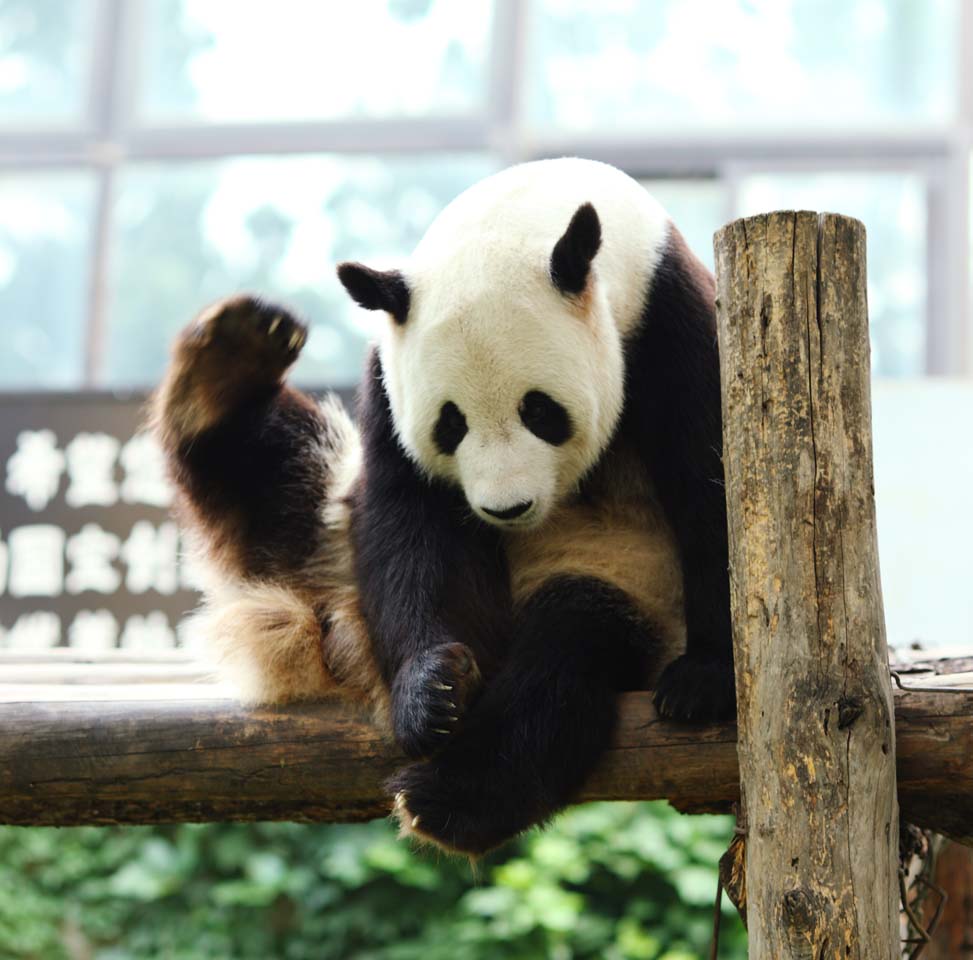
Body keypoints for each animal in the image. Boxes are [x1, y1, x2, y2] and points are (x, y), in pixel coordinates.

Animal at [154, 158, 728, 856]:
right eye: (450, 424)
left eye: (541, 410)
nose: (506, 509)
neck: (534, 204)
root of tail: (337, 635)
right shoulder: (389, 376)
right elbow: (413, 524)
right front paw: (433, 691)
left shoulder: (670, 320)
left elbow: (714, 484)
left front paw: (706, 680)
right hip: (333, 543)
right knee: (278, 476)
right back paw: (228, 364)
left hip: (631, 585)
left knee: (568, 647)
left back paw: (449, 798)